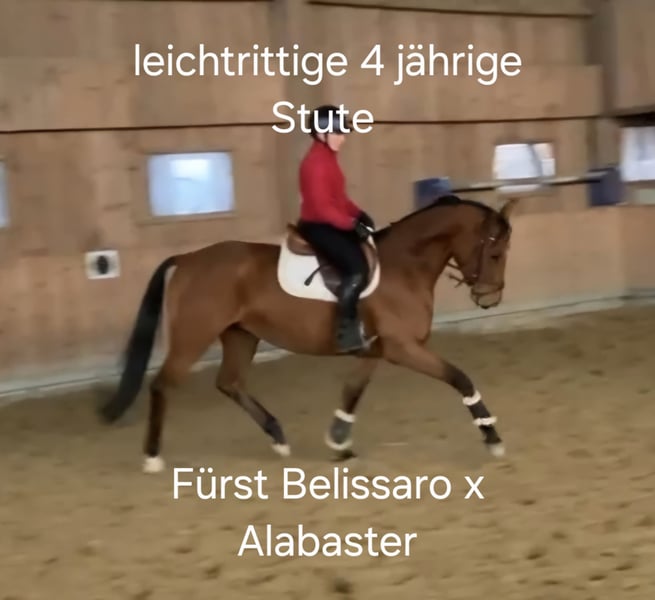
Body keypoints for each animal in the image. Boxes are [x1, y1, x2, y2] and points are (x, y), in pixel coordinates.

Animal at [99, 194, 518, 473]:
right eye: (496, 254)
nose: (489, 297)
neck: (404, 265)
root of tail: (187, 259)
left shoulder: (377, 350)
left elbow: (351, 391)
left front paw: (338, 441)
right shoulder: (404, 348)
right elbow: (460, 378)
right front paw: (492, 438)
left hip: (240, 334)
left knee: (229, 382)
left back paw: (279, 438)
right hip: (195, 335)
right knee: (162, 385)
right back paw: (153, 457)